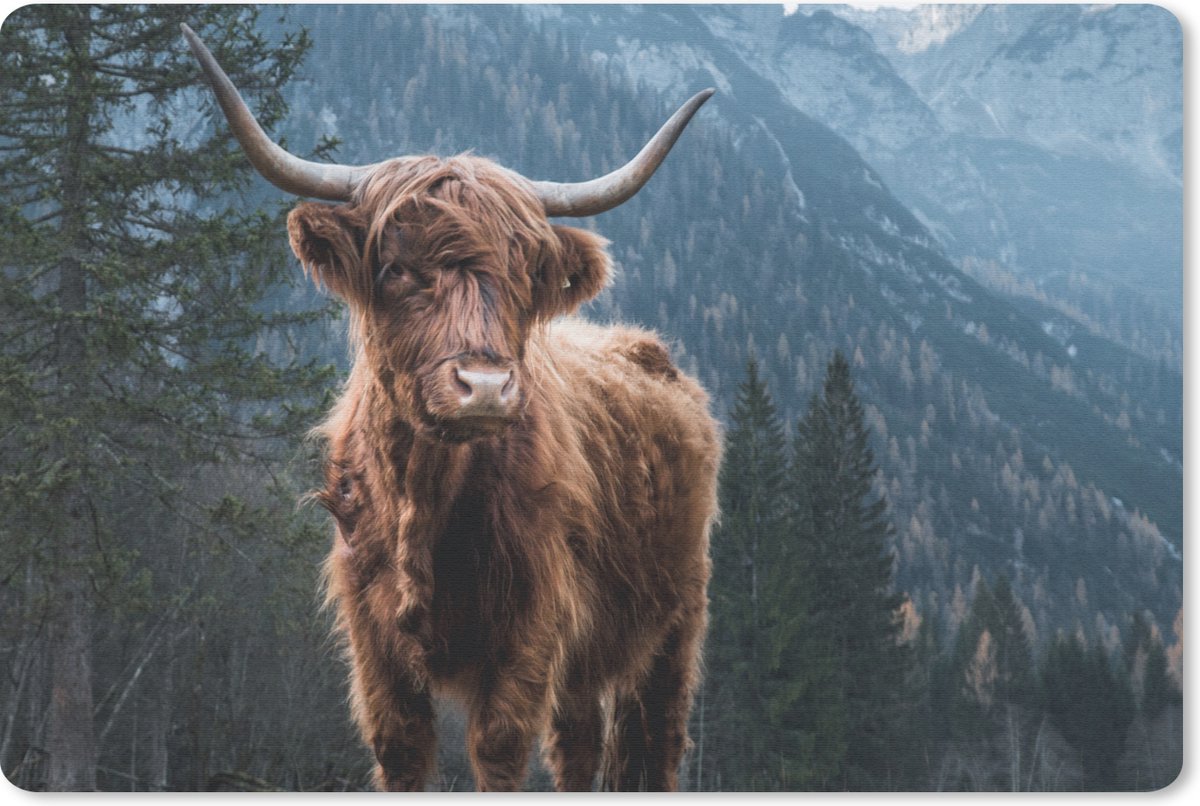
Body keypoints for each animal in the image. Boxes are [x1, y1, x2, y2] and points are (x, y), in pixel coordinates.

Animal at [184, 25, 721, 792]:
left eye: (523, 274)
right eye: (396, 269)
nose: (486, 386)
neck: (425, 498)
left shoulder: (528, 628)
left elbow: (498, 750)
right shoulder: (374, 640)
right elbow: (403, 750)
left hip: (674, 621)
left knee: (654, 743)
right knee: (580, 743)